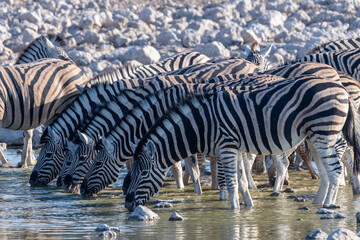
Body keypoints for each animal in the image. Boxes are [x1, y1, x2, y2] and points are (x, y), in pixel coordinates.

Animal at [122, 75, 358, 210]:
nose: (128, 204)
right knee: (327, 170)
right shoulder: (234, 148)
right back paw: (319, 201)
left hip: (324, 130)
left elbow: (232, 182)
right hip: (315, 134)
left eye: (143, 173)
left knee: (336, 169)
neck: (203, 125)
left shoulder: (226, 146)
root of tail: (342, 89)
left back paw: (328, 205)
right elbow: (242, 180)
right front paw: (248, 206)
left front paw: (233, 211)